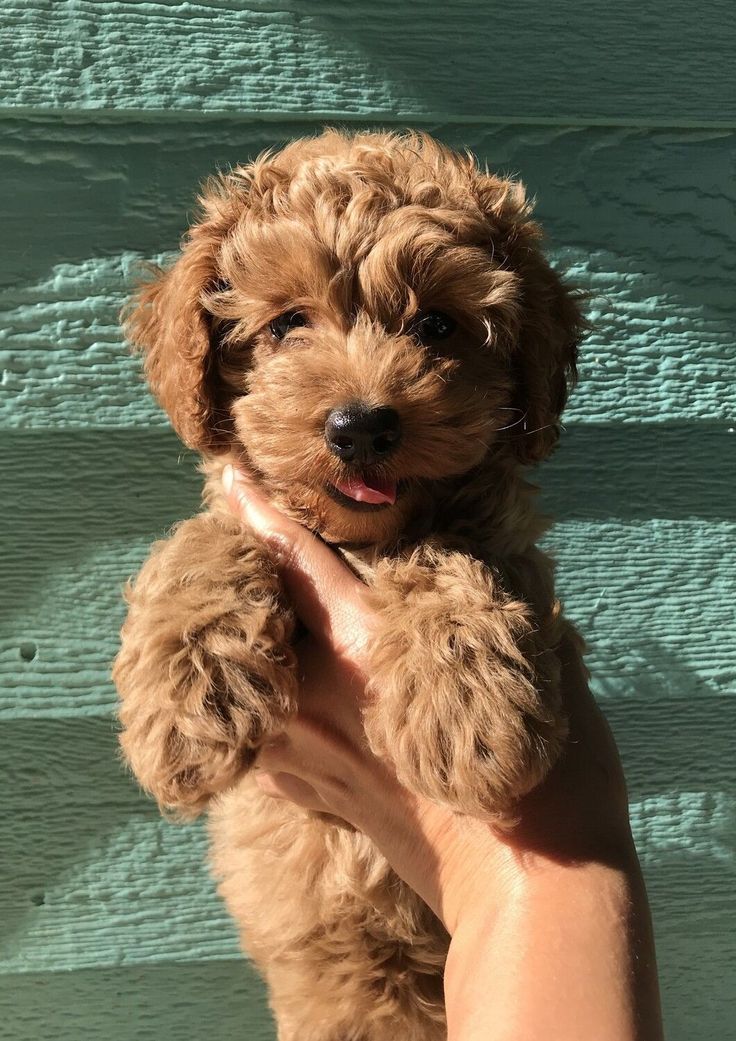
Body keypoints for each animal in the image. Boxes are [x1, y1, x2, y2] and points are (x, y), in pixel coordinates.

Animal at [113, 128, 587, 1041]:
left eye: (437, 324)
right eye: (288, 323)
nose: (360, 424)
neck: (362, 540)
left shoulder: (508, 546)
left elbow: (450, 561)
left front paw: (468, 717)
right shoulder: (246, 506)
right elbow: (202, 540)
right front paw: (189, 703)